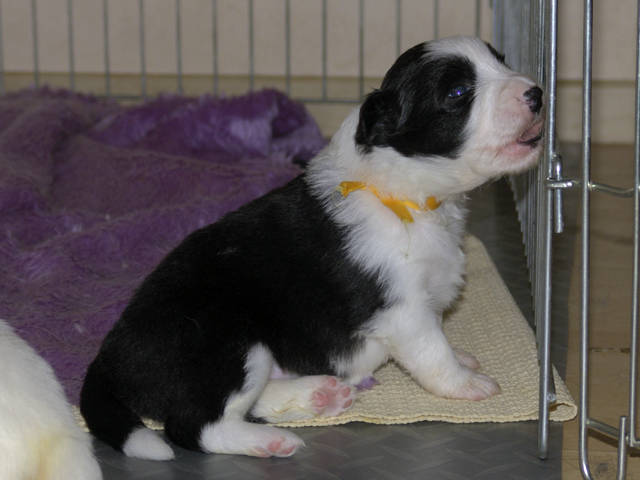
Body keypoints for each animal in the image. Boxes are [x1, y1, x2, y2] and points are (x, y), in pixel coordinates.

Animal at [80, 36, 544, 460]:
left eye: (502, 62)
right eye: (458, 93)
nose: (537, 94)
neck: (408, 197)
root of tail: (108, 359)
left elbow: (442, 338)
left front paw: (464, 358)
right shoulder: (403, 311)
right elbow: (433, 352)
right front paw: (468, 383)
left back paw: (320, 394)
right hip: (232, 344)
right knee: (196, 425)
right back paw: (271, 441)